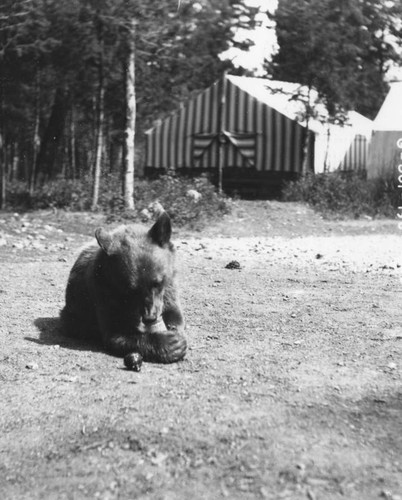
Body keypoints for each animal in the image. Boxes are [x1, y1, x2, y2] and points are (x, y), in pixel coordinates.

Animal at [59, 211, 187, 364]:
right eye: (132, 289)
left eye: (157, 282)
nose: (149, 317)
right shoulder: (104, 291)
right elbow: (116, 333)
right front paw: (170, 344)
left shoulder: (169, 286)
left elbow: (174, 311)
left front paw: (175, 330)